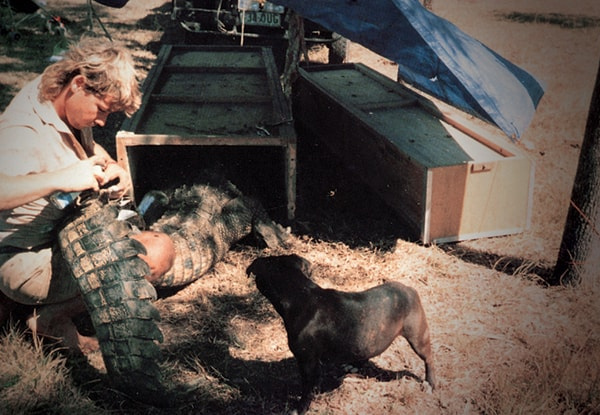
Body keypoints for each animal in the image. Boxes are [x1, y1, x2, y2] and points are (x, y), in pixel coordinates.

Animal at [246, 255, 438, 414]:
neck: (300, 293)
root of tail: (409, 289)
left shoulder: (307, 362)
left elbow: (307, 389)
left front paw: (300, 409)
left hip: (418, 337)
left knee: (428, 358)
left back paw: (431, 383)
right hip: (367, 338)